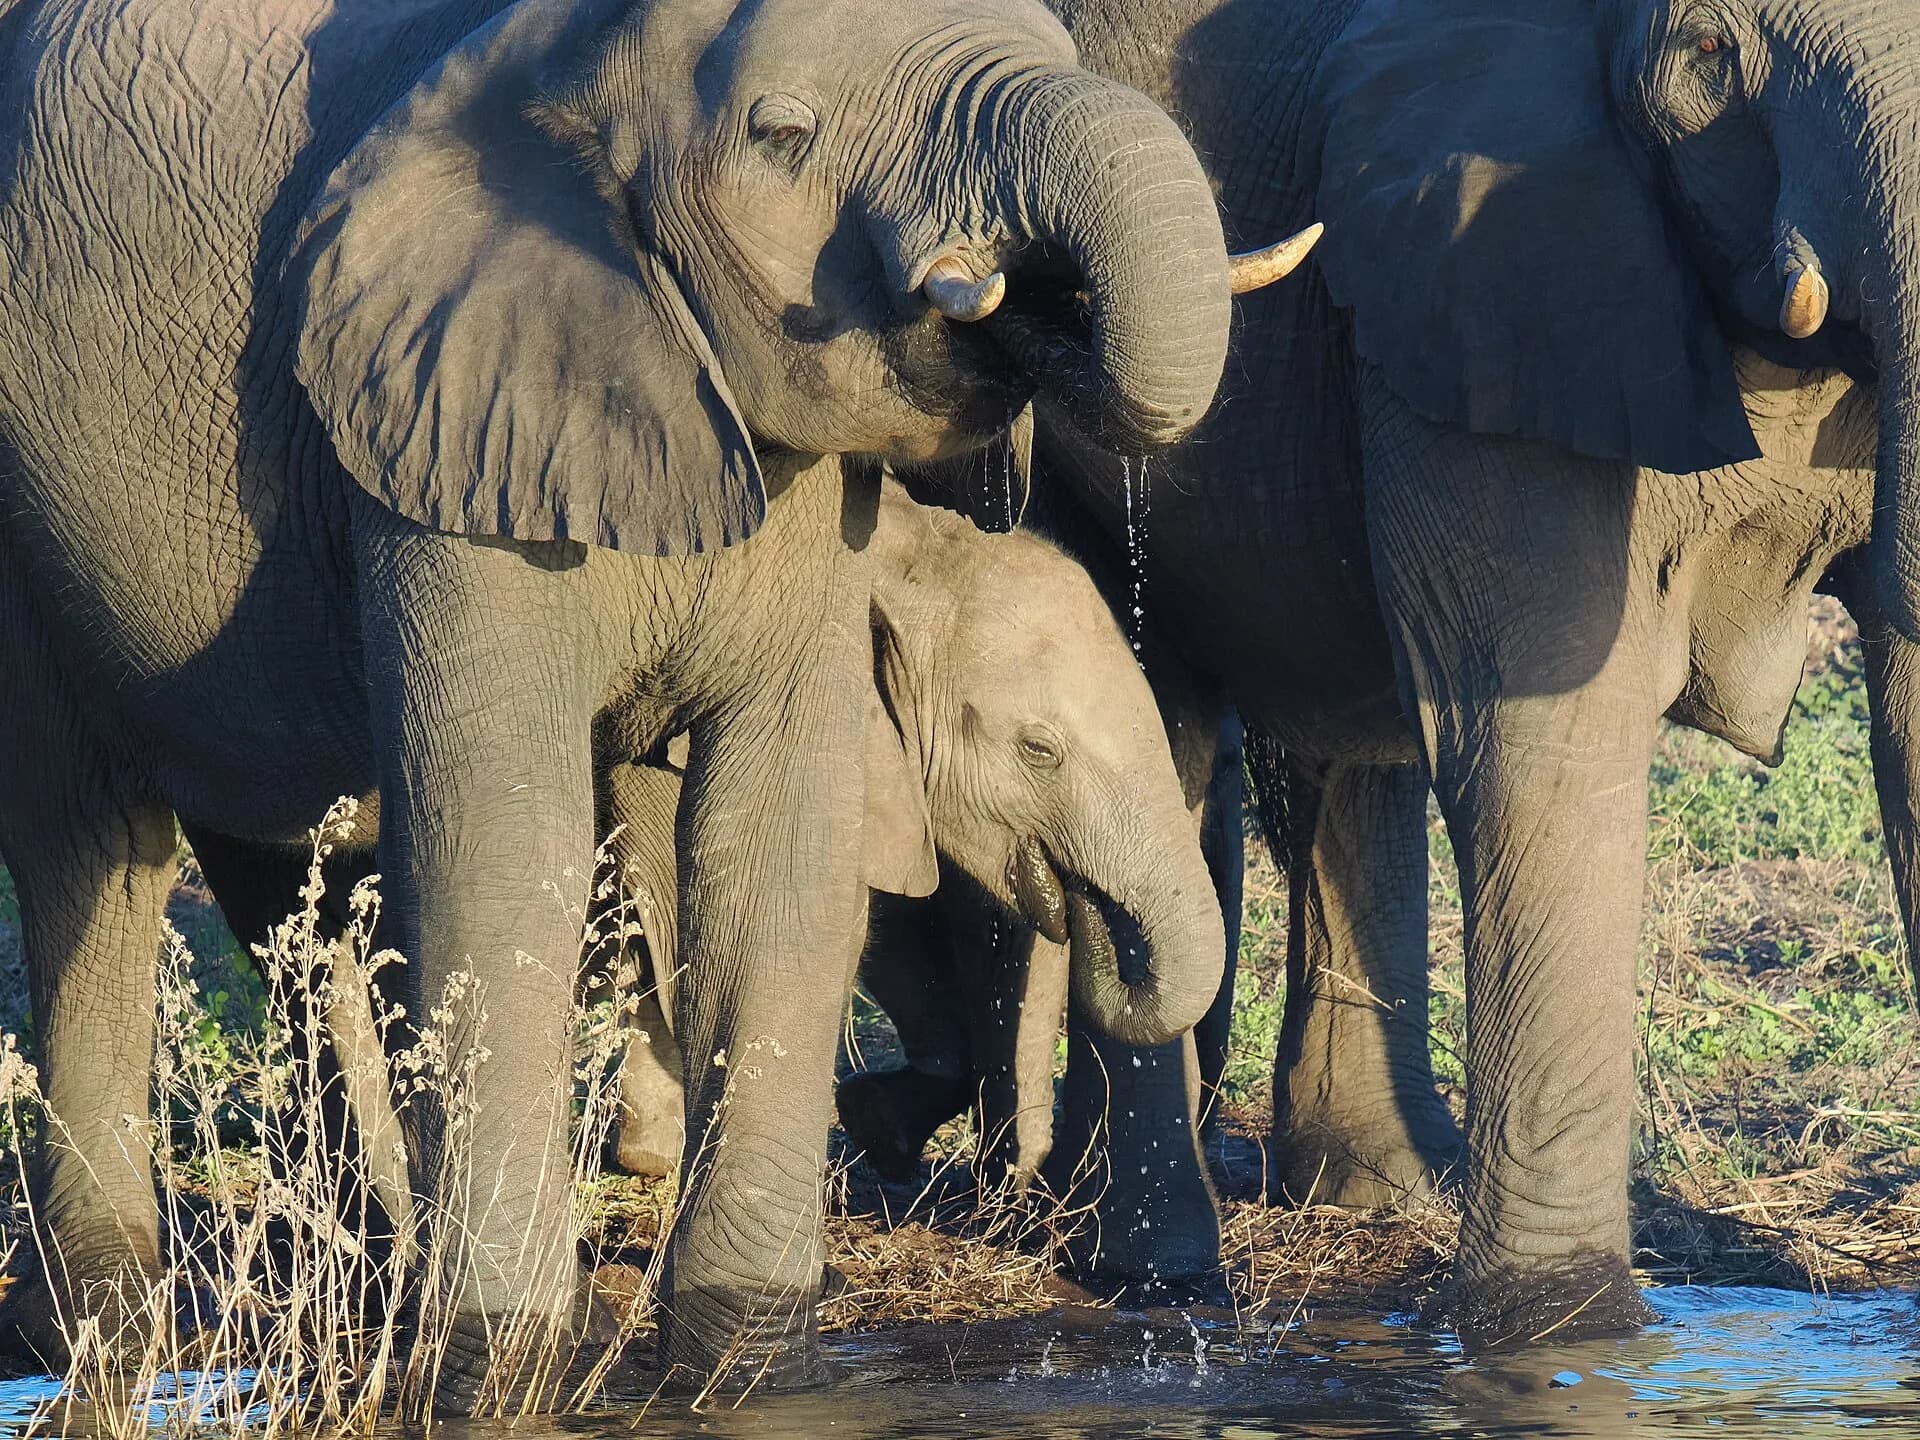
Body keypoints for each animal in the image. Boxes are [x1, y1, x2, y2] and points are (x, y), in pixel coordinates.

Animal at [0, 0, 1289, 1399]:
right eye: (785, 134)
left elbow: (772, 849)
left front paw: (749, 1352)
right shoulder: (447, 433)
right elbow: (512, 850)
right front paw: (498, 1365)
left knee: (287, 888)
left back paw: (375, 1269)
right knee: (93, 860)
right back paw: (107, 1330)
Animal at [847, 0, 1920, 1350]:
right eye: (1715, 54)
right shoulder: (1488, 279)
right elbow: (1549, 740)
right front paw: (1565, 1335)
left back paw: (1359, 1198)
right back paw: (1142, 1261)